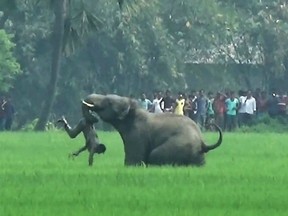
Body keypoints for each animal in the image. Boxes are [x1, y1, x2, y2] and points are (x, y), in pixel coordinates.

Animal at [81, 93, 223, 166]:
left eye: (109, 102)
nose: (93, 119)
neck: (133, 110)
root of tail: (203, 143)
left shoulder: (137, 135)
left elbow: (133, 160)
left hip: (179, 146)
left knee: (155, 154)